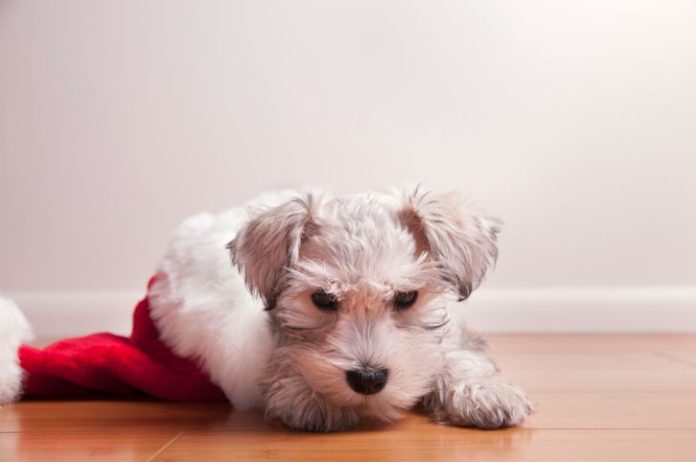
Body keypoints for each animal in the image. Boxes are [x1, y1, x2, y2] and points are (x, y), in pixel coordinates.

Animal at [148, 189, 532, 434]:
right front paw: (308, 393)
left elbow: (457, 356)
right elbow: (285, 358)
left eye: (407, 297)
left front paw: (483, 391)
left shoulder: (452, 336)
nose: (368, 379)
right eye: (322, 299)